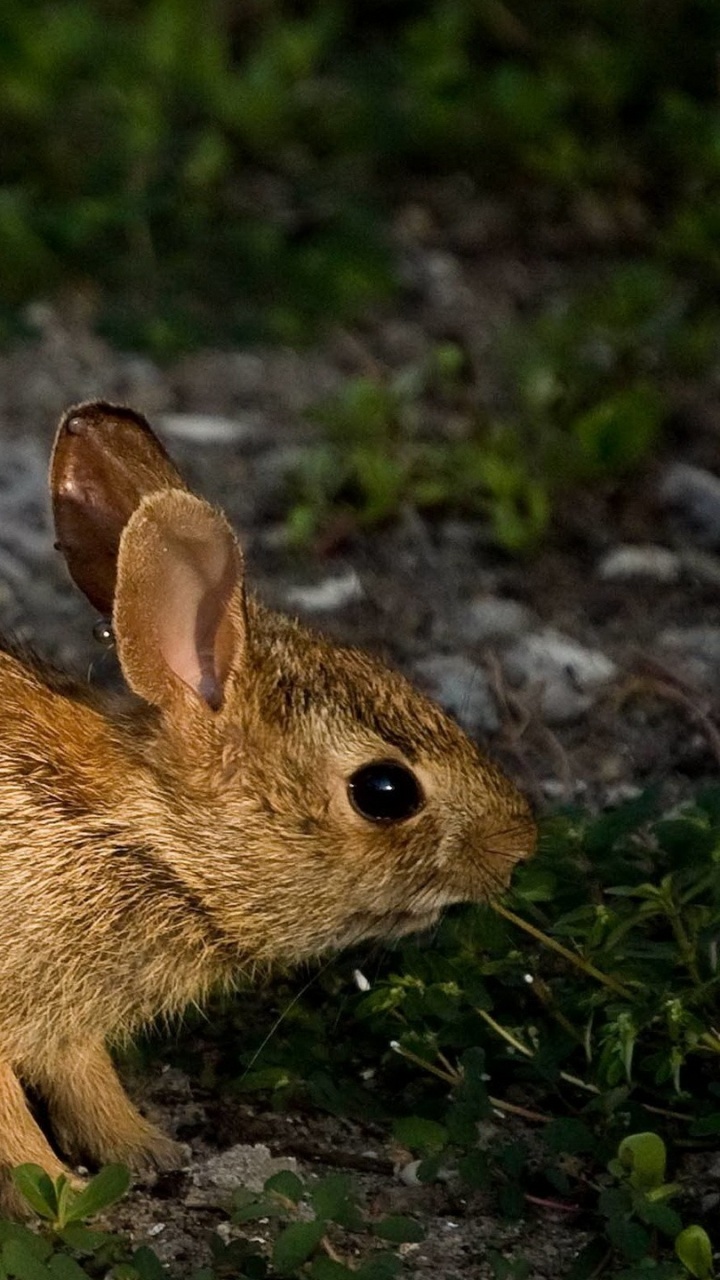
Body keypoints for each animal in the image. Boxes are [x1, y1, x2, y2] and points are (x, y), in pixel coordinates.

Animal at [0, 400, 535, 1216]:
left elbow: (86, 1080)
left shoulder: (68, 1023)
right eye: (385, 792)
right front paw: (59, 1193)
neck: (150, 844)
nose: (519, 847)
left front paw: (147, 1151)